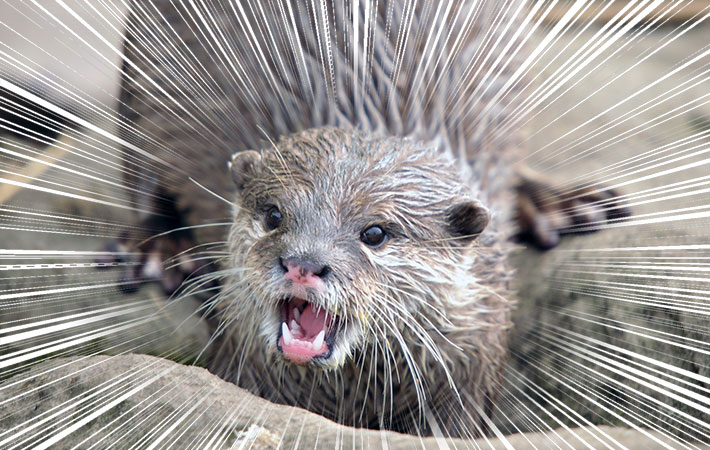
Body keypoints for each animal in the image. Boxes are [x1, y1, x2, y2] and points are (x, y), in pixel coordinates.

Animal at [112, 0, 628, 438]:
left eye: (375, 233)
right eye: (273, 215)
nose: (303, 263)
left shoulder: (474, 365)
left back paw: (563, 205)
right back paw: (156, 252)